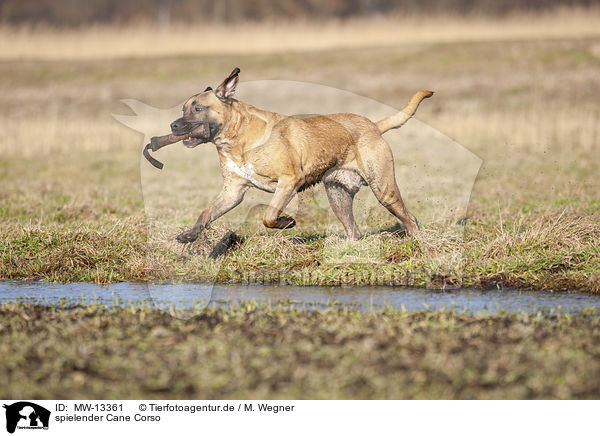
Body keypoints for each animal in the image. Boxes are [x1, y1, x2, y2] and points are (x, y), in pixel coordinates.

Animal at [166, 70, 434, 244]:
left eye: (198, 108)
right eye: (183, 109)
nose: (173, 125)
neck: (237, 136)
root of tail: (374, 126)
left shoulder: (288, 181)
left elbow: (269, 215)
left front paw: (287, 222)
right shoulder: (233, 191)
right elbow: (206, 213)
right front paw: (190, 234)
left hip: (384, 189)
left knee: (410, 219)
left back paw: (417, 242)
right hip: (338, 195)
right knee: (353, 231)